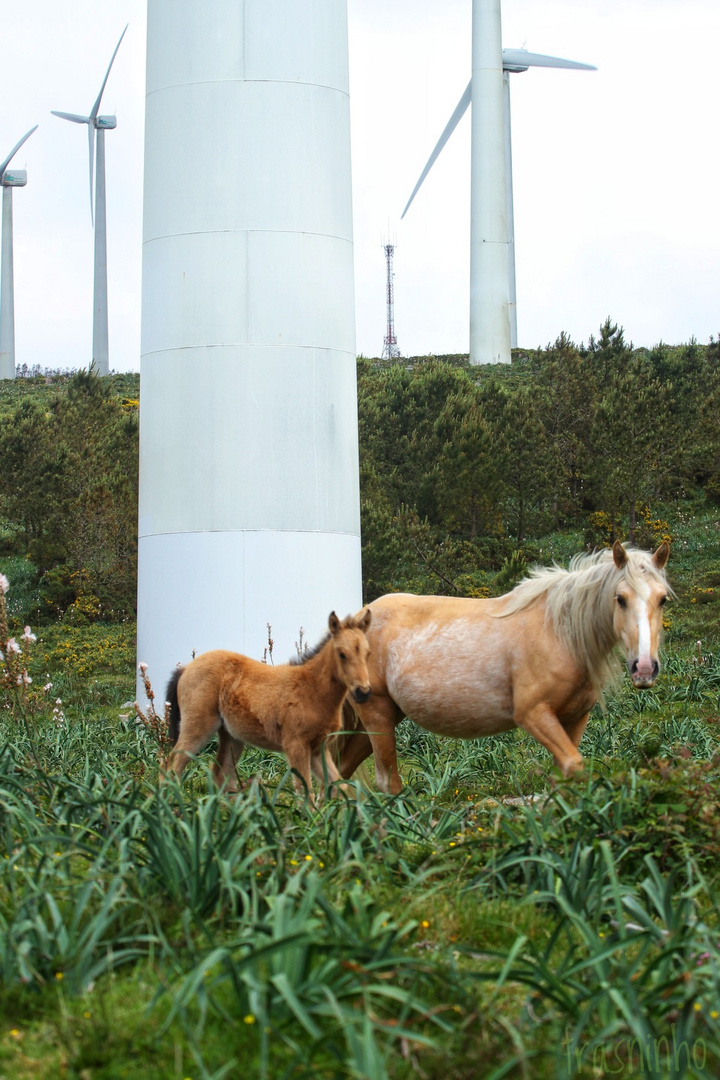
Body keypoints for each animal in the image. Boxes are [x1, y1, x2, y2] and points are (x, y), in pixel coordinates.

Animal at [167, 613, 375, 799]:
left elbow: (339, 785)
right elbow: (306, 792)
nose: (363, 692)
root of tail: (185, 668)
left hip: (232, 736)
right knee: (172, 764)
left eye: (368, 653)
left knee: (220, 776)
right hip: (198, 727)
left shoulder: (318, 749)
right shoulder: (296, 746)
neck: (313, 689)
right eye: (342, 654)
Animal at [338, 544, 669, 799]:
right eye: (620, 598)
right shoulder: (534, 714)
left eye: (662, 598)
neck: (560, 633)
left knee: (337, 771)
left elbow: (564, 776)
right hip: (377, 715)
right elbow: (573, 766)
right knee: (387, 783)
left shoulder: (574, 720)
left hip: (379, 720)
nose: (644, 668)